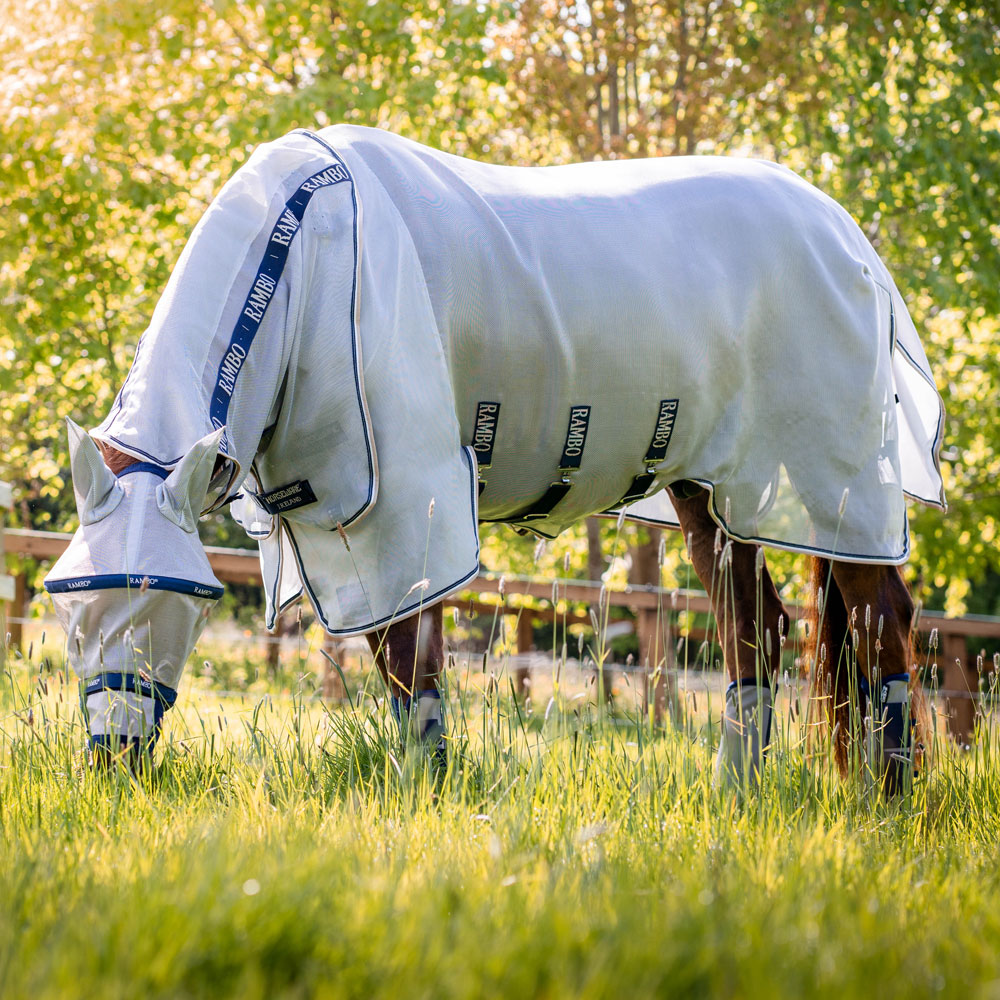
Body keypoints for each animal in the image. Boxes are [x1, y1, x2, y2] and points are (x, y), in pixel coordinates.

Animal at [41, 125, 944, 784]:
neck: (307, 260)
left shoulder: (406, 501)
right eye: (71, 601)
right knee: (756, 629)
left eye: (175, 601)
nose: (112, 765)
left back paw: (887, 799)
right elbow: (398, 665)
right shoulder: (347, 519)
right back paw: (739, 794)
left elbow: (412, 664)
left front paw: (428, 797)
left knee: (882, 622)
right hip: (714, 493)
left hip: (836, 481)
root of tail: (846, 235)